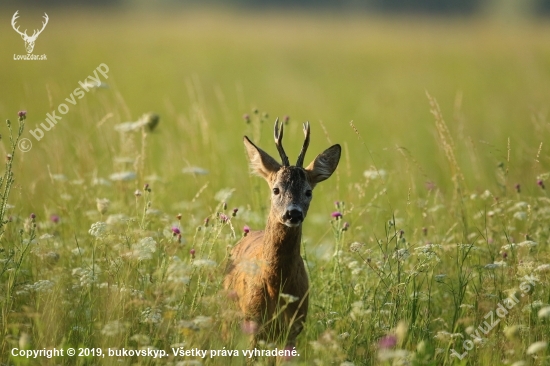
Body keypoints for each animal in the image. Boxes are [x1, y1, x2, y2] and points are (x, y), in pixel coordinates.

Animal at [224, 118, 340, 350]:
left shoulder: (294, 328)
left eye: (308, 191)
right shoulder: (253, 323)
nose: (293, 213)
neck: (276, 286)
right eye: (276, 189)